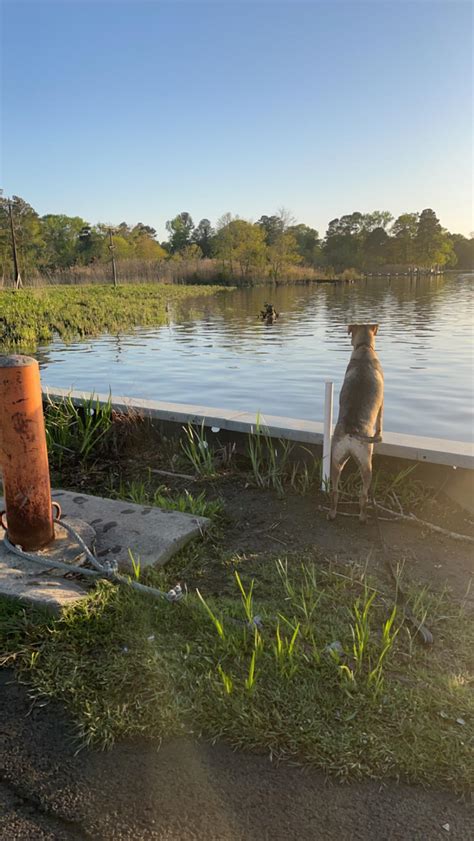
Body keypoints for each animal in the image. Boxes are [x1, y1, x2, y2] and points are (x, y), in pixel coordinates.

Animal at [328, 324, 384, 520]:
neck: (364, 348)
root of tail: (351, 433)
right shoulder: (382, 402)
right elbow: (380, 421)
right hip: (367, 465)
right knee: (363, 495)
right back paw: (362, 517)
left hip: (336, 460)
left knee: (334, 491)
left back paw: (332, 513)